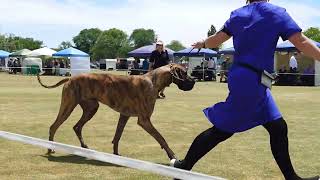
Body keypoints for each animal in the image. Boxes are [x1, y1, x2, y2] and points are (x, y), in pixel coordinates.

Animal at [36, 63, 194, 159]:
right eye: (185, 73)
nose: (194, 80)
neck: (153, 81)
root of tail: (70, 78)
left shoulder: (124, 116)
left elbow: (117, 136)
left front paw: (116, 154)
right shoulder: (144, 120)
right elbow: (161, 138)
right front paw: (172, 156)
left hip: (91, 108)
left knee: (77, 127)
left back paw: (84, 147)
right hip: (68, 106)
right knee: (54, 126)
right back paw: (50, 149)